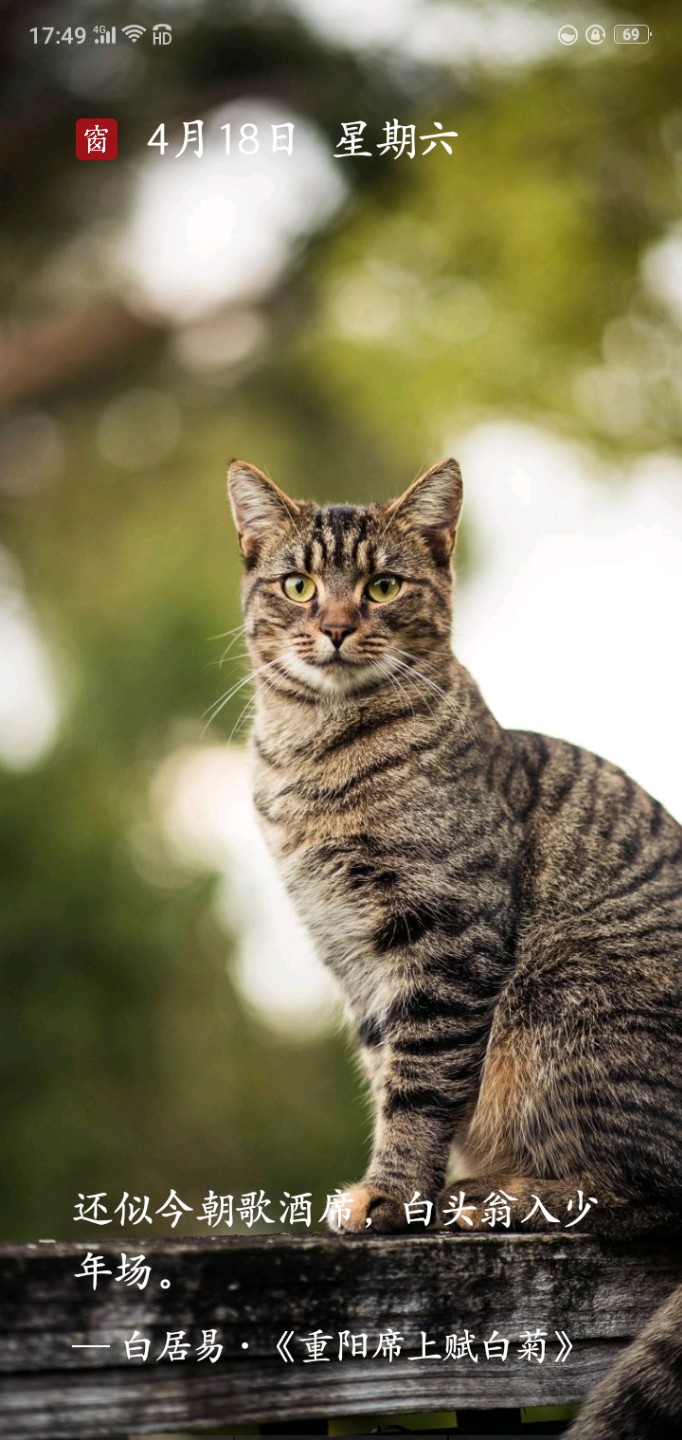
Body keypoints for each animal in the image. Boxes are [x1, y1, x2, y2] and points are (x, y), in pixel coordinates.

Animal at [225, 455, 679, 1434]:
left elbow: (423, 1084)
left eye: (383, 586)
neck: (312, 758)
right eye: (299, 584)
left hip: (566, 998)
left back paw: (509, 1196)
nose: (336, 626)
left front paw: (393, 1195)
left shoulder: (443, 939)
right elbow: (390, 1074)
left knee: (656, 1193)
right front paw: (410, 1191)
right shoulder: (354, 961)